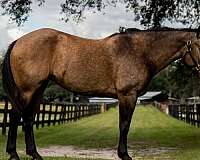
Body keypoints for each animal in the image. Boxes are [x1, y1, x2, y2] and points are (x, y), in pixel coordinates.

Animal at [1, 26, 200, 159]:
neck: (139, 51)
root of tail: (18, 41)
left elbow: (124, 125)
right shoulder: (128, 95)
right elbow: (124, 125)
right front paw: (124, 155)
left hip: (38, 89)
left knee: (28, 119)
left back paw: (34, 154)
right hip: (26, 90)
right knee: (15, 117)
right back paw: (13, 154)